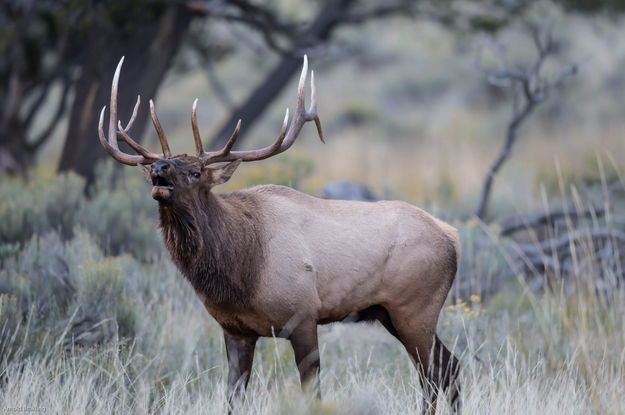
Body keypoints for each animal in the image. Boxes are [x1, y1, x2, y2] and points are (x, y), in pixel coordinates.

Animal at [96, 56, 458, 415]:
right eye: (159, 165)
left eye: (196, 172)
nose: (159, 169)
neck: (242, 271)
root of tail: (452, 236)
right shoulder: (235, 329)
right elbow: (233, 396)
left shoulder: (304, 316)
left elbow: (312, 393)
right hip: (390, 313)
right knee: (449, 366)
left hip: (415, 308)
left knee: (432, 373)